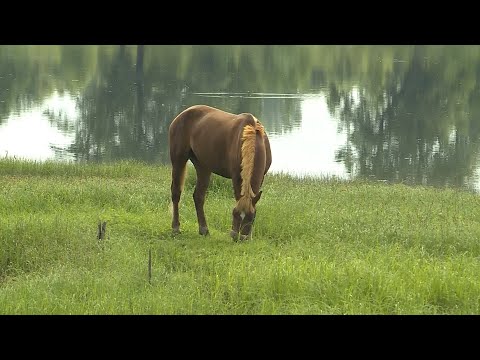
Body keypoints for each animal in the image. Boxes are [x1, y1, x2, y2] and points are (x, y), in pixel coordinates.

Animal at [169, 104, 272, 240]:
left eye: (251, 217)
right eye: (234, 213)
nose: (238, 238)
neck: (251, 136)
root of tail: (182, 114)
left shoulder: (262, 176)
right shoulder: (236, 176)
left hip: (203, 166)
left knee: (198, 196)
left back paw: (204, 230)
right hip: (179, 160)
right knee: (176, 193)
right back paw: (176, 228)